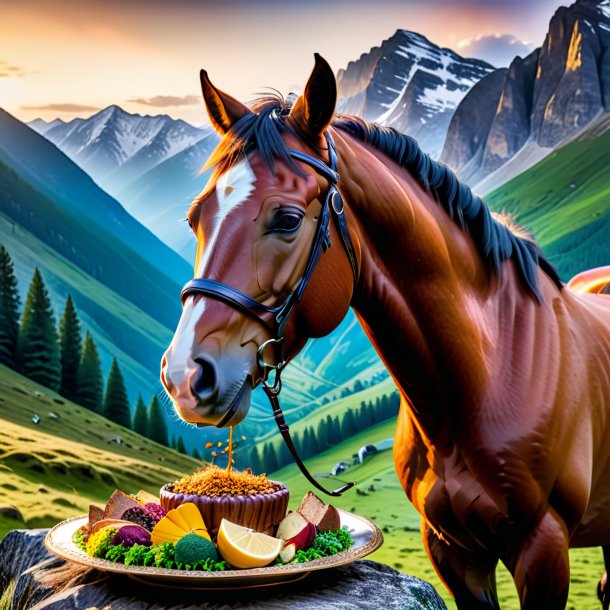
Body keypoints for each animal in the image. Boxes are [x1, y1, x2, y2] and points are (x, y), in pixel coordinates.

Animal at [160, 54, 608, 604]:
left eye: (287, 219)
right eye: (195, 217)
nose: (184, 376)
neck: (490, 374)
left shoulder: (544, 550)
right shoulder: (451, 550)